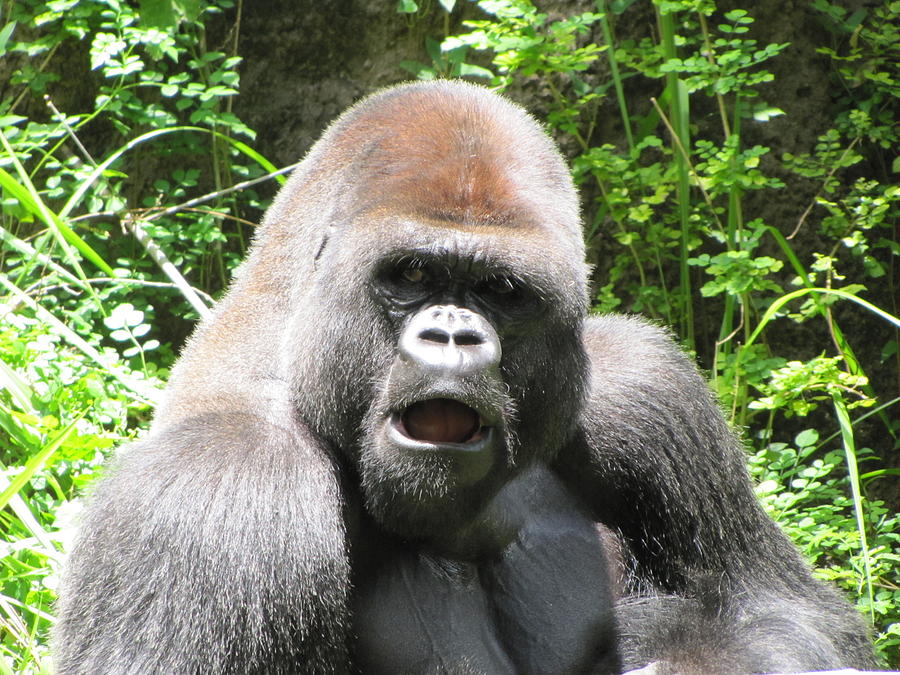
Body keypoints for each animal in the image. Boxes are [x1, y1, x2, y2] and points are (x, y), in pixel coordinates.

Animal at [54, 82, 872, 672]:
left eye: (500, 291)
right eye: (413, 274)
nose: (453, 333)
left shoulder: (644, 388)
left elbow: (778, 609)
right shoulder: (211, 495)